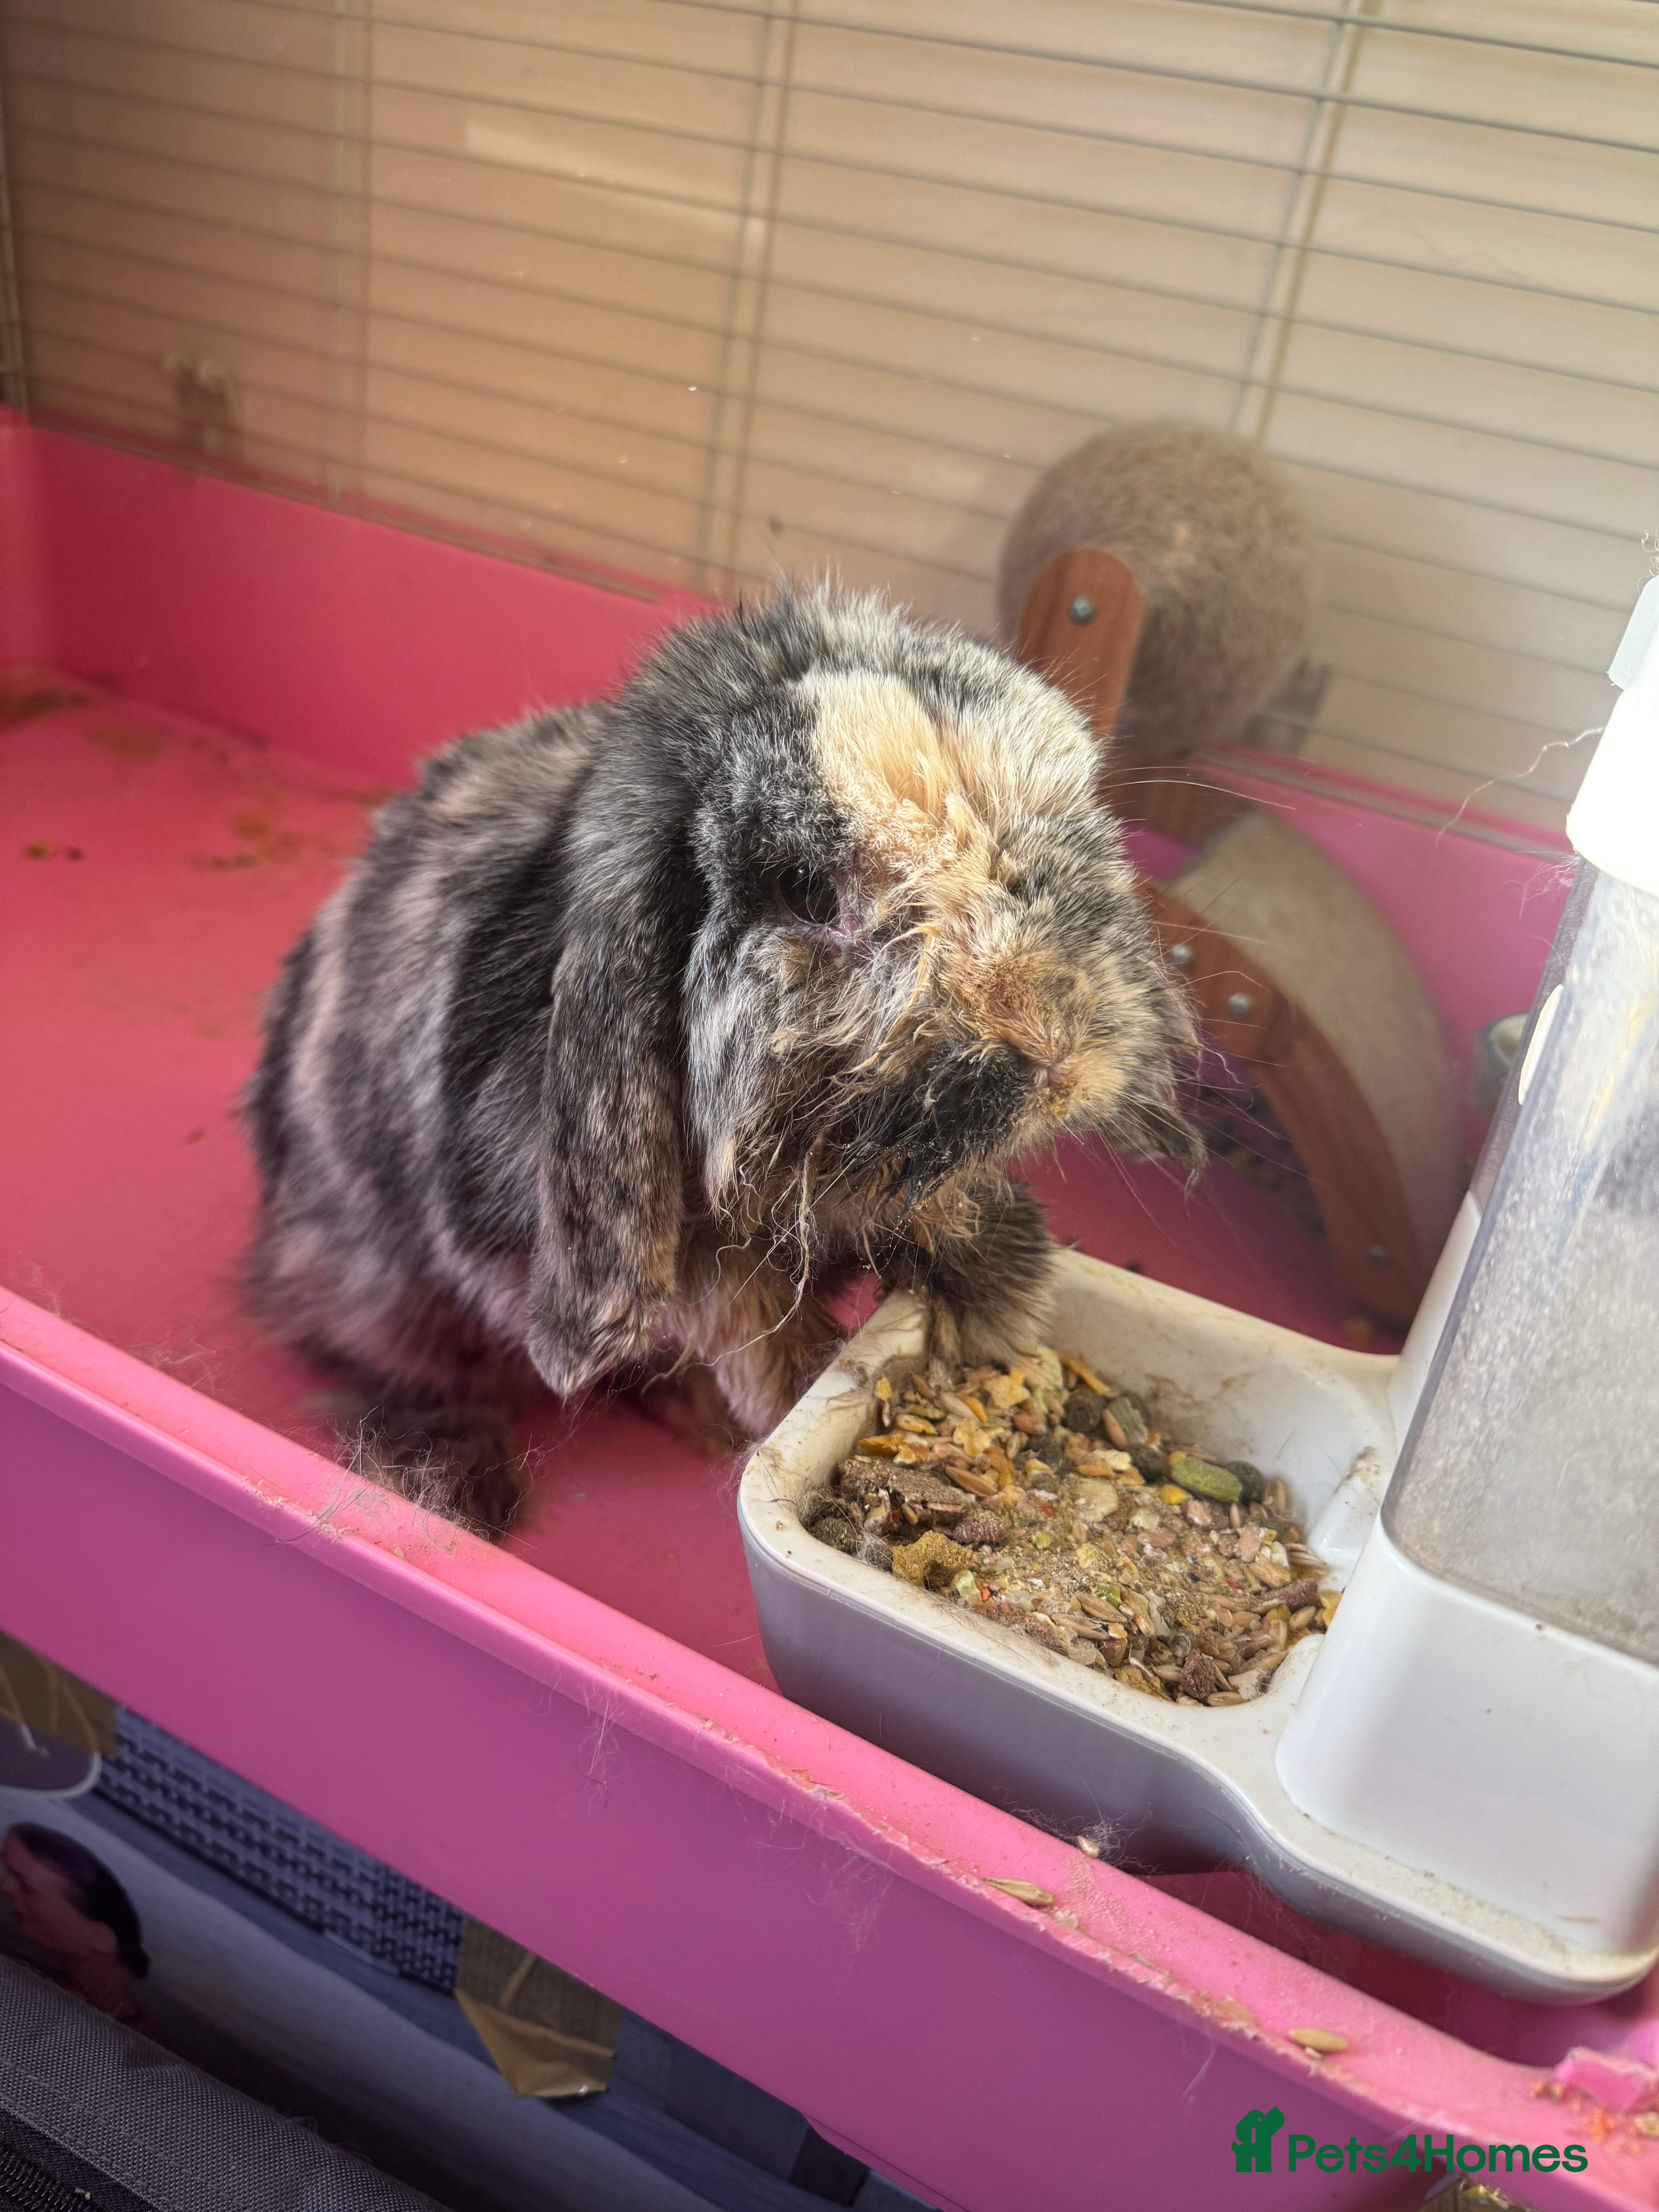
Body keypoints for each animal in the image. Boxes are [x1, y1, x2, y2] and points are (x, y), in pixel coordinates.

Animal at [244, 586, 1199, 1537]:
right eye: (804, 890)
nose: (1057, 1051)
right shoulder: (679, 1269)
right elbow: (755, 1332)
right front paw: (802, 1401)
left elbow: (938, 1212)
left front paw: (1003, 1293)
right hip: (383, 1293)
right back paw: (471, 1490)